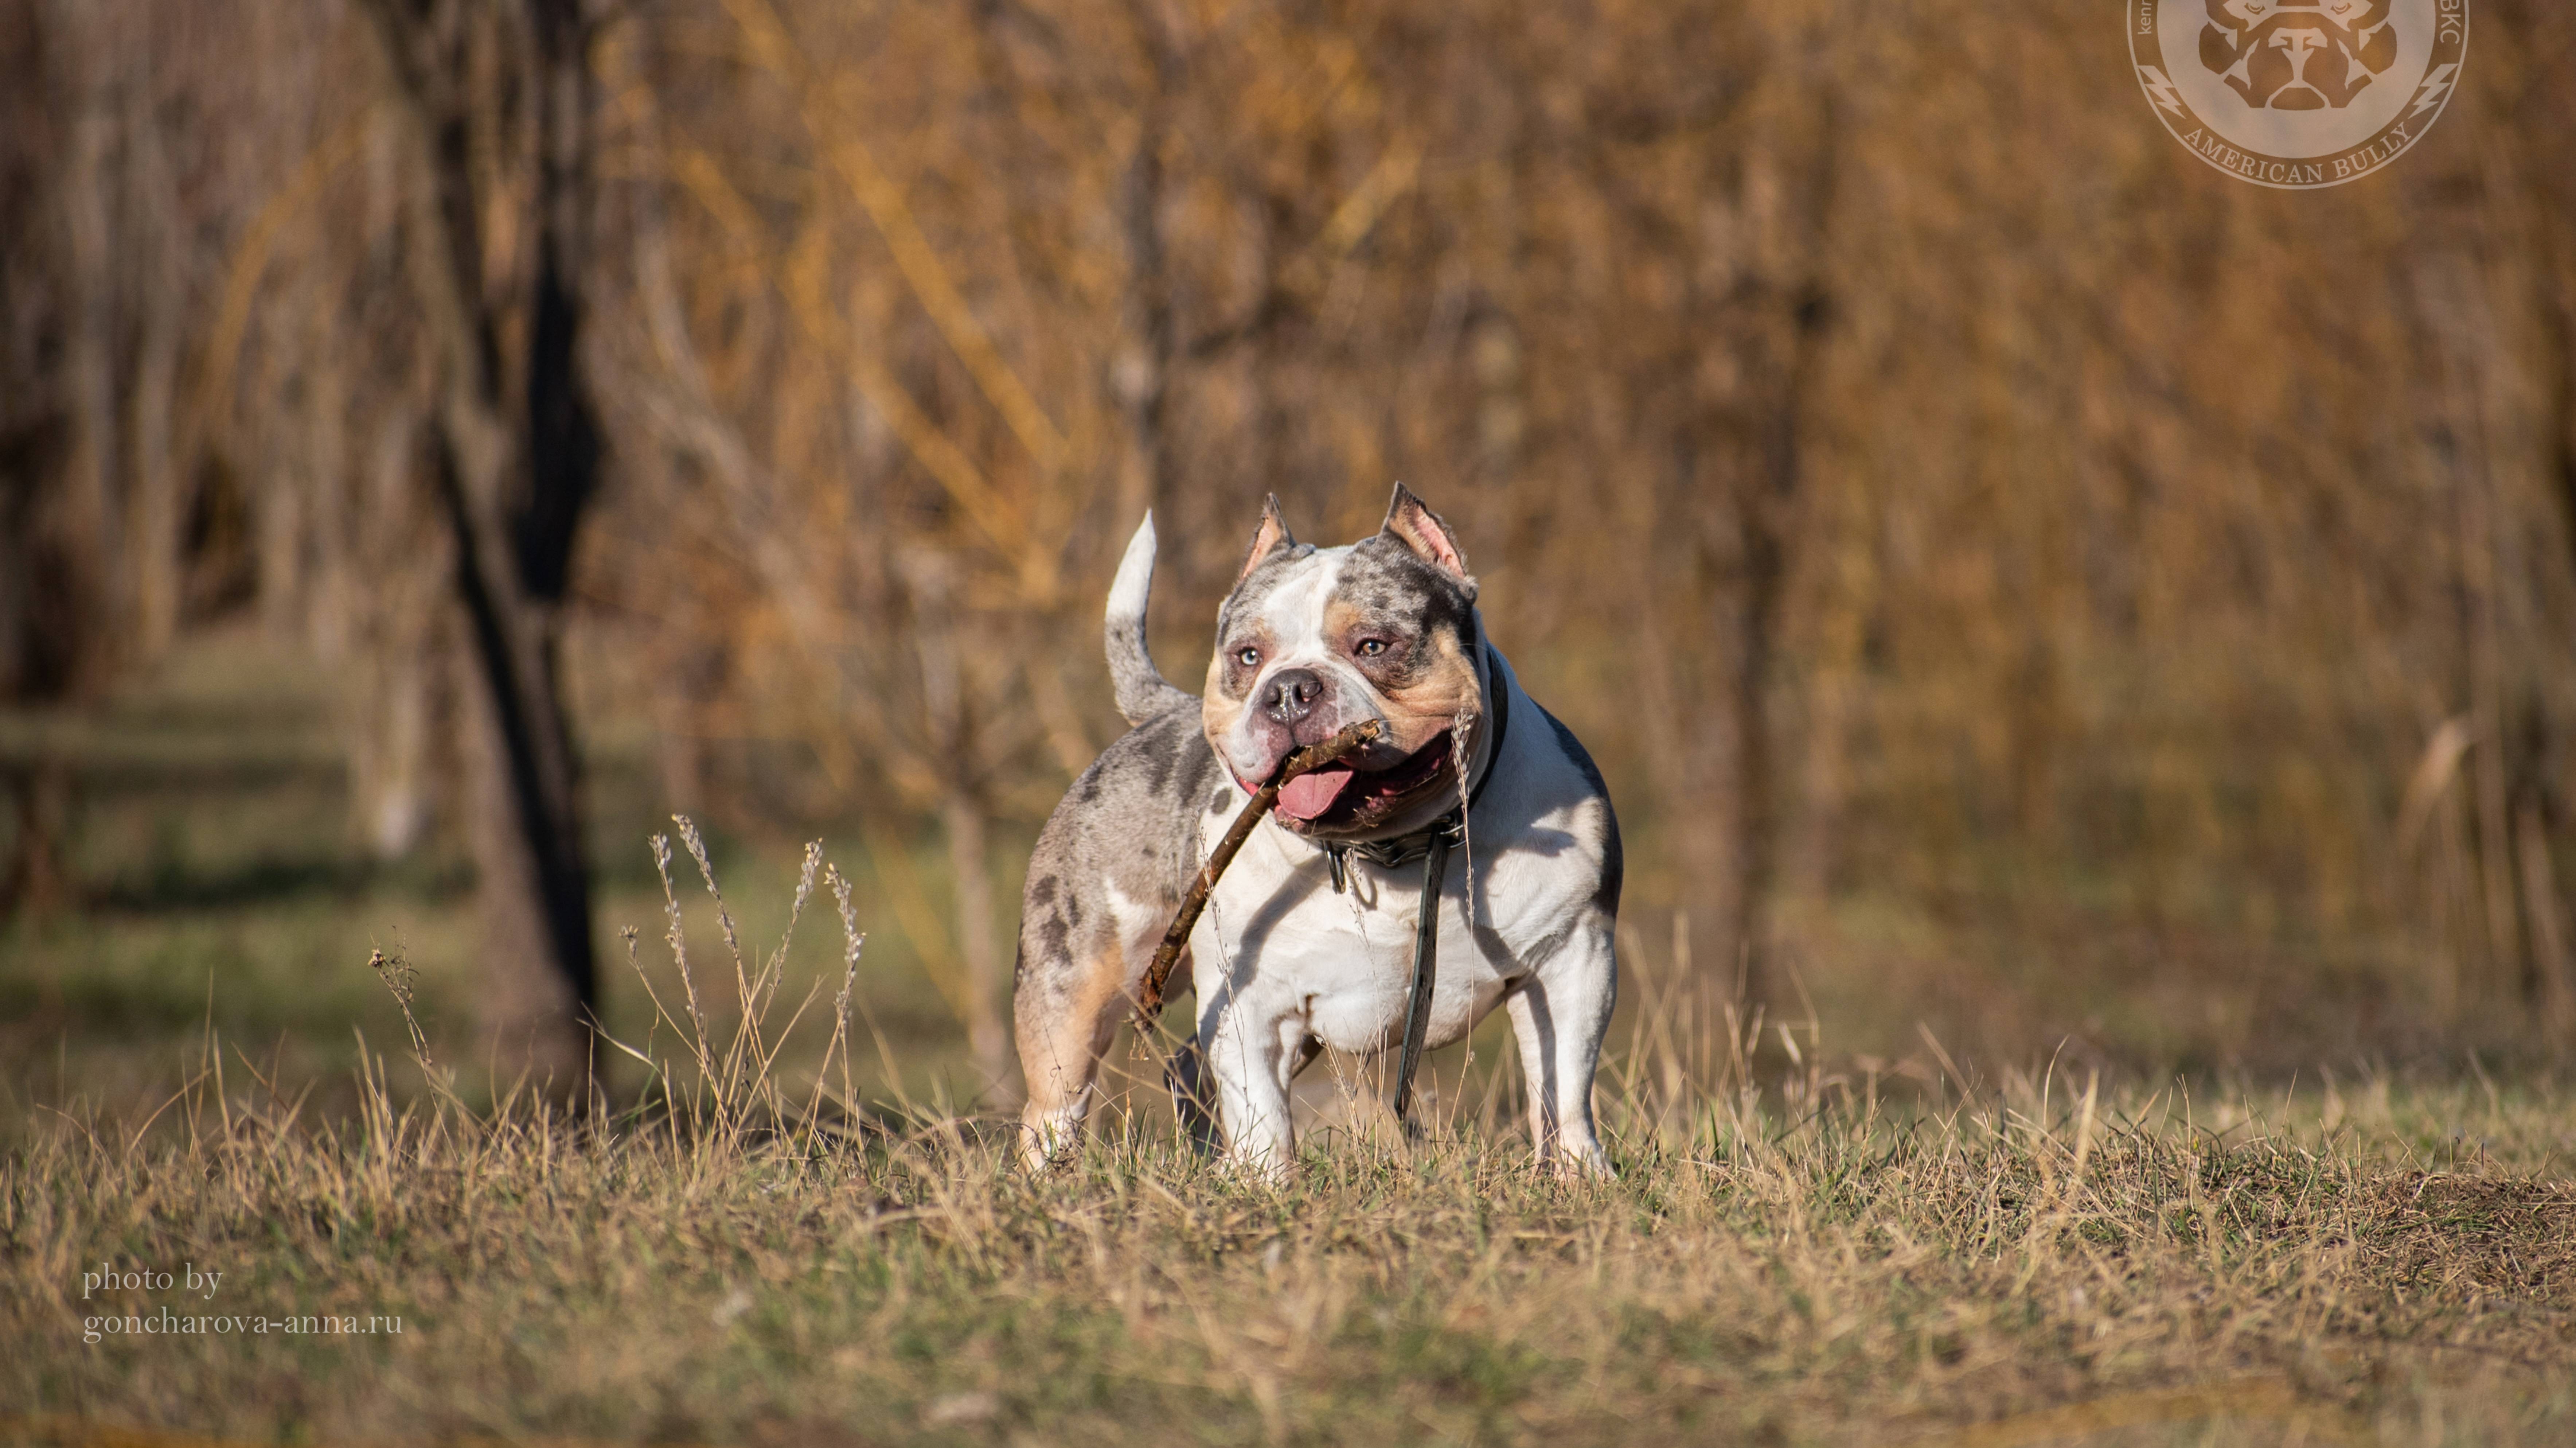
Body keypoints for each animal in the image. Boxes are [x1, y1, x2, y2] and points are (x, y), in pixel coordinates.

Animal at [1015, 484, 1617, 1175]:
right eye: (1248, 657)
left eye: (1374, 646)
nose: (1288, 690)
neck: (1390, 848)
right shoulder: (1251, 1002)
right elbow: (1261, 1107)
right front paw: (1267, 1181)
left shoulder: (1574, 960)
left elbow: (1565, 1086)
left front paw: (1581, 1174)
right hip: (1071, 990)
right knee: (1056, 1104)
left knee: (1186, 1069)